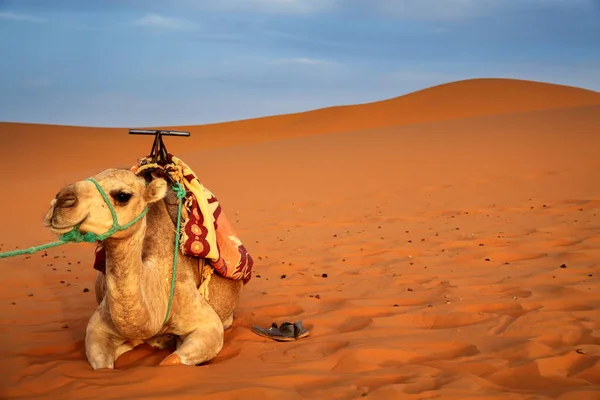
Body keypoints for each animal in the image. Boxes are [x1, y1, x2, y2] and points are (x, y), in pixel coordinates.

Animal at [42, 168, 245, 368]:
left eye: (123, 195)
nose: (62, 200)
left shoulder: (206, 322)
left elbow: (170, 361)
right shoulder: (98, 329)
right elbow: (103, 365)